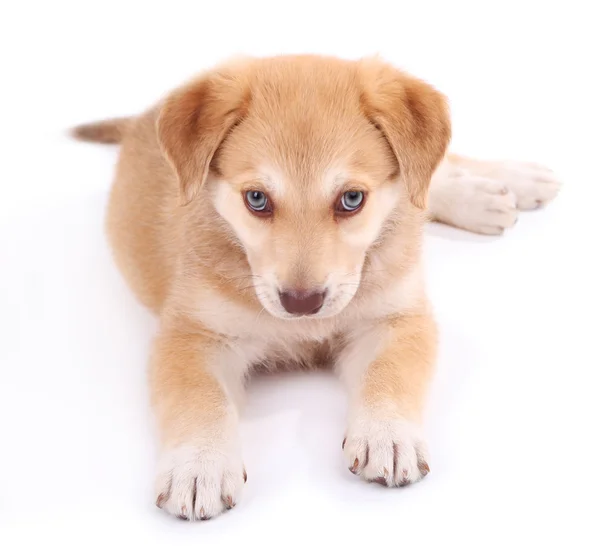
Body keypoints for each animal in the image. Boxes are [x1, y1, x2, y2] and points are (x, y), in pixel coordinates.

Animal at [72, 54, 560, 520]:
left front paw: (388, 434)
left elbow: (390, 373)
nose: (301, 303)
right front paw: (198, 466)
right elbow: (199, 399)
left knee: (424, 176)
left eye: (352, 199)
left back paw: (507, 182)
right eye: (256, 199)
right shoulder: (192, 335)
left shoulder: (396, 317)